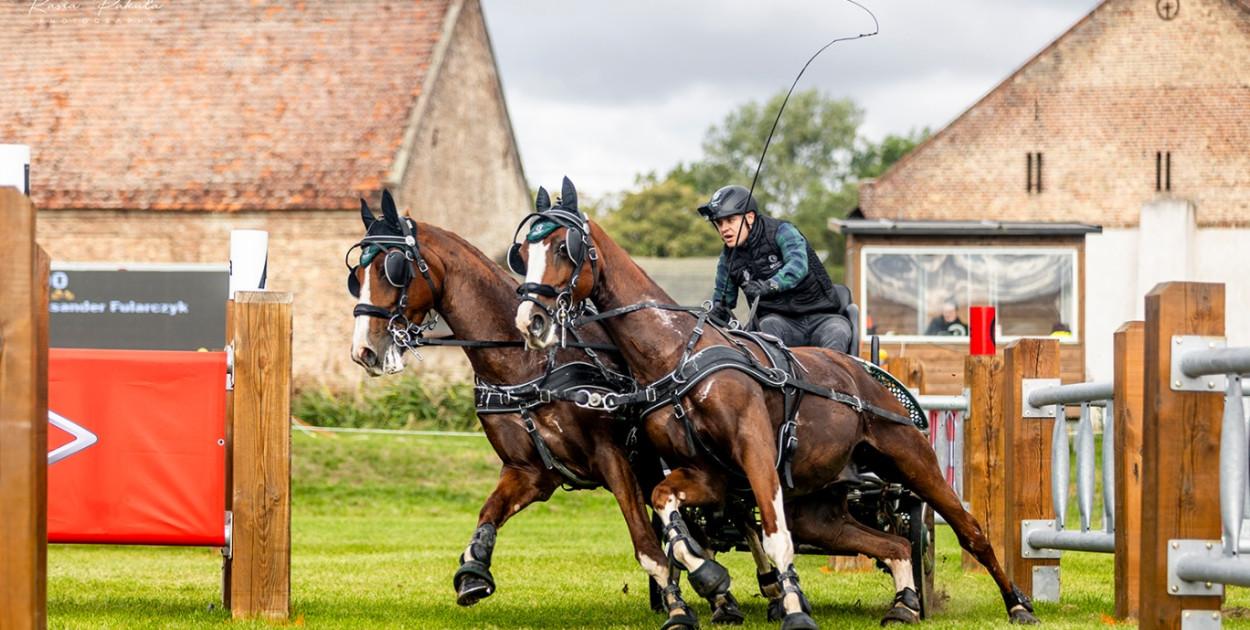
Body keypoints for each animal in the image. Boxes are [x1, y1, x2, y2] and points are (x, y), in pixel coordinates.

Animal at [345, 192, 740, 630]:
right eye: (355, 275)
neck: (528, 367)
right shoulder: (530, 472)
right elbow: (488, 514)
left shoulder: (613, 458)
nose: (364, 351)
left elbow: (648, 546)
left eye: (393, 268)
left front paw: (678, 609)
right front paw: (473, 572)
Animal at [512, 176, 1040, 625]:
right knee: (891, 545)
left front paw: (791, 609)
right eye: (523, 250)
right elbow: (668, 511)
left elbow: (774, 536)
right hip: (822, 509)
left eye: (563, 246)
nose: (529, 321)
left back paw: (1016, 603)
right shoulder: (707, 474)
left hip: (913, 464)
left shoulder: (756, 452)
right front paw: (711, 578)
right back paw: (904, 603)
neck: (679, 354)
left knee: (960, 530)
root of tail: (867, 377)